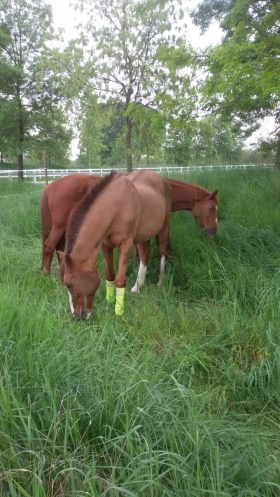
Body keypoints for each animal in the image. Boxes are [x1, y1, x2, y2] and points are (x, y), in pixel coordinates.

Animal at [40, 172, 219, 276]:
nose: (213, 231)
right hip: (59, 227)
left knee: (59, 248)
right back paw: (46, 274)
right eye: (212, 207)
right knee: (49, 246)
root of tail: (51, 186)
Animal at [57, 170, 172, 318]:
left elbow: (120, 280)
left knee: (162, 252)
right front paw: (110, 301)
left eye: (68, 284)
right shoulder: (106, 246)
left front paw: (119, 311)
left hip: (163, 228)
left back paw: (160, 283)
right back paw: (137, 287)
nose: (76, 316)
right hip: (143, 235)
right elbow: (110, 275)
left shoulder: (126, 245)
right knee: (144, 255)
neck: (117, 207)